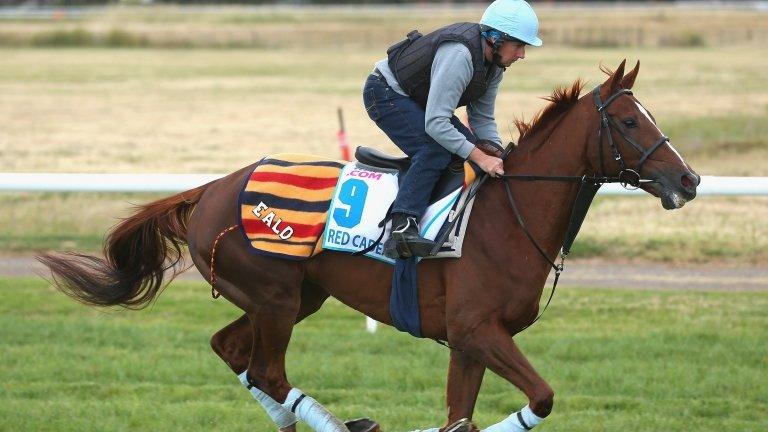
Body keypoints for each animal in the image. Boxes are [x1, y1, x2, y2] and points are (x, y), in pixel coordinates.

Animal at [43, 61, 704, 432]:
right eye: (628, 122)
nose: (689, 179)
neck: (506, 217)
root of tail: (211, 188)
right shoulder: (477, 330)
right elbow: (539, 398)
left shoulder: (469, 342)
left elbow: (461, 417)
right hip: (275, 298)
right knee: (267, 370)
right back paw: (349, 425)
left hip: (291, 297)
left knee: (232, 352)